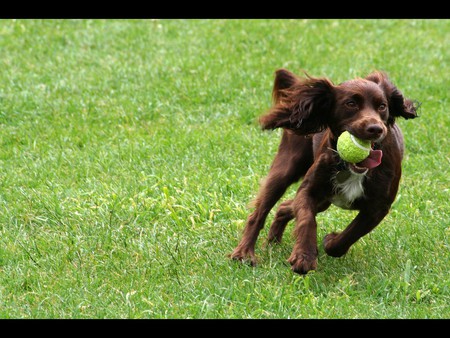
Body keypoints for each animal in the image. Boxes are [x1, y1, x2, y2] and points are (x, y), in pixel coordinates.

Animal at [232, 68, 418, 274]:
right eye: (351, 103)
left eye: (382, 106)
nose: (376, 128)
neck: (350, 166)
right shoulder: (308, 191)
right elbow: (307, 219)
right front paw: (304, 256)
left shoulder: (378, 207)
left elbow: (349, 235)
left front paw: (329, 241)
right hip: (286, 168)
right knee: (259, 213)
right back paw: (244, 253)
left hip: (324, 201)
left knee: (284, 207)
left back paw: (273, 242)